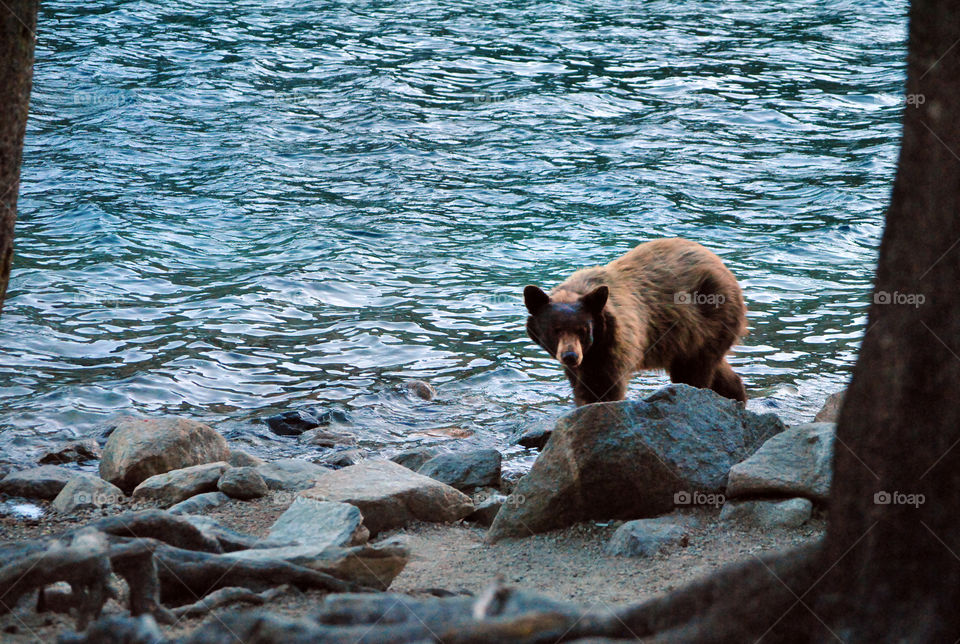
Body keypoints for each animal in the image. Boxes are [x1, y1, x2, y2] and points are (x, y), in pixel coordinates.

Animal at [520, 239, 748, 406]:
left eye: (583, 330)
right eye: (555, 329)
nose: (570, 356)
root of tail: (723, 267)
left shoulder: (615, 344)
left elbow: (603, 386)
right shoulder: (586, 358)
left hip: (707, 323)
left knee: (693, 372)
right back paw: (735, 395)